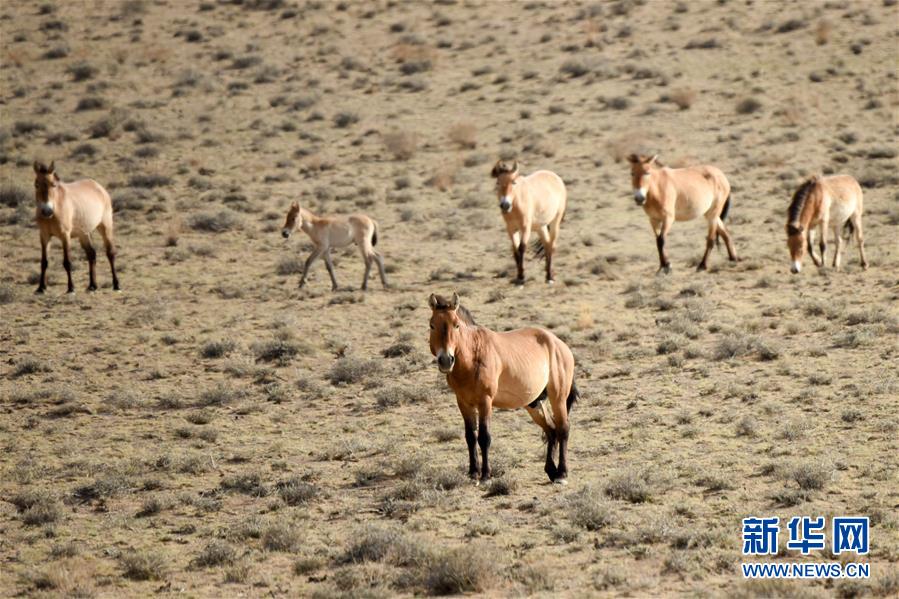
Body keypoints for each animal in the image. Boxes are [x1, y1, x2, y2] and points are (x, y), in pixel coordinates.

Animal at [32, 160, 119, 294]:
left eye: (53, 185)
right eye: (36, 184)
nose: (47, 211)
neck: (55, 210)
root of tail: (99, 187)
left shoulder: (65, 236)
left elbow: (67, 262)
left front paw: (71, 288)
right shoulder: (44, 236)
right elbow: (44, 262)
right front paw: (41, 288)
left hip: (105, 227)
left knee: (110, 253)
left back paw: (116, 285)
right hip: (84, 234)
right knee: (91, 254)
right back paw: (92, 286)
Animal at [428, 293, 579, 484]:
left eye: (456, 325)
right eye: (432, 325)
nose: (446, 360)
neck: (474, 356)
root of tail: (560, 344)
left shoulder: (485, 402)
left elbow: (484, 437)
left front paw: (486, 475)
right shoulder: (463, 402)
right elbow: (470, 437)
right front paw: (473, 473)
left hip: (557, 396)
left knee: (563, 428)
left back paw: (561, 474)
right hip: (534, 403)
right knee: (551, 430)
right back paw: (551, 471)